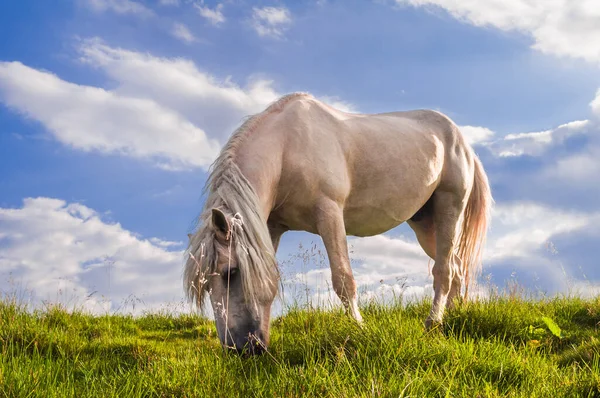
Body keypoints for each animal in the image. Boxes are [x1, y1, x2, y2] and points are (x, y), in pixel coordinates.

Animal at [184, 93, 492, 354]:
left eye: (231, 273)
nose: (240, 349)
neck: (286, 148)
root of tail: (461, 141)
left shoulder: (329, 213)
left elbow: (343, 279)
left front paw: (359, 328)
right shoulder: (271, 228)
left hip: (449, 208)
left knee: (444, 271)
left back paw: (433, 324)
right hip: (425, 225)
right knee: (456, 267)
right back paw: (455, 315)